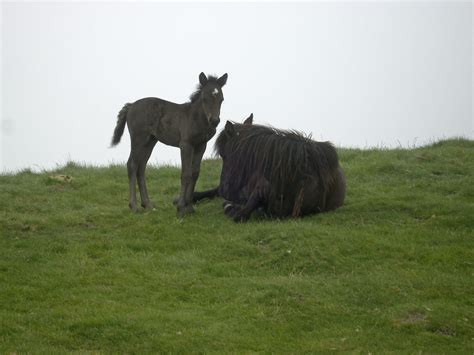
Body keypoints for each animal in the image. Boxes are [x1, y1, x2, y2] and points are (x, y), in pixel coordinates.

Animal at [112, 72, 229, 217]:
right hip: (138, 138)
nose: (214, 121)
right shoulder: (186, 145)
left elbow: (195, 173)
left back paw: (148, 205)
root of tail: (131, 105)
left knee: (141, 167)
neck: (196, 118)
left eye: (222, 99)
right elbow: (186, 173)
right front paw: (180, 208)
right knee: (132, 164)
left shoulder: (201, 145)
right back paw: (133, 206)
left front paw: (190, 207)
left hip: (150, 141)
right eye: (204, 99)